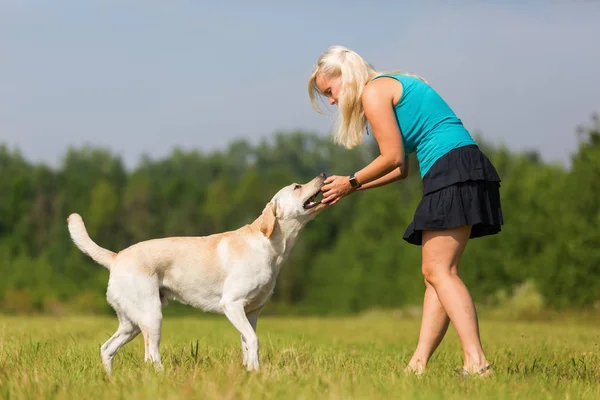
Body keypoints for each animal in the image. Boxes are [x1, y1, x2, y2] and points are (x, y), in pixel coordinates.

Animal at [67, 173, 328, 376]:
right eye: (297, 186)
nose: (323, 174)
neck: (271, 244)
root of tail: (116, 257)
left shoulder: (252, 312)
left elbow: (248, 343)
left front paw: (251, 372)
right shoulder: (232, 304)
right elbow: (253, 340)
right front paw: (253, 372)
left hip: (132, 323)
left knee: (107, 348)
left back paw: (110, 380)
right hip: (152, 317)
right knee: (150, 356)